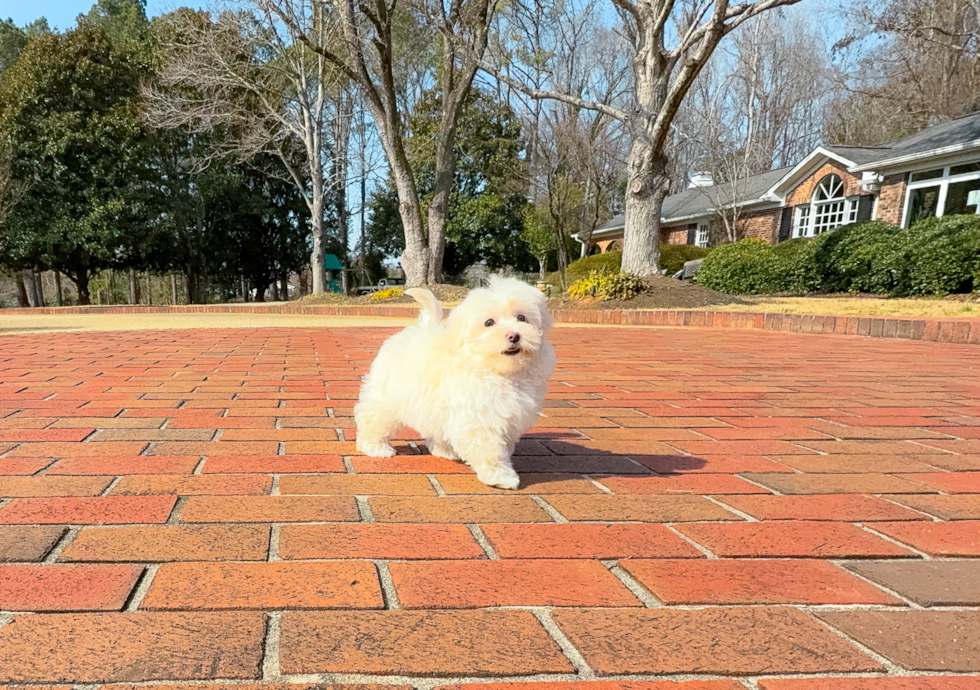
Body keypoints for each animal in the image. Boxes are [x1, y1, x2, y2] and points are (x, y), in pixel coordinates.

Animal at [354, 276, 556, 490]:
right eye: (489, 322)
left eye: (522, 318)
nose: (514, 335)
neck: (498, 371)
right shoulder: (481, 417)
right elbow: (491, 449)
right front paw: (500, 476)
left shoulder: (510, 416)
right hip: (386, 398)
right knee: (374, 418)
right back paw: (375, 446)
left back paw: (444, 450)